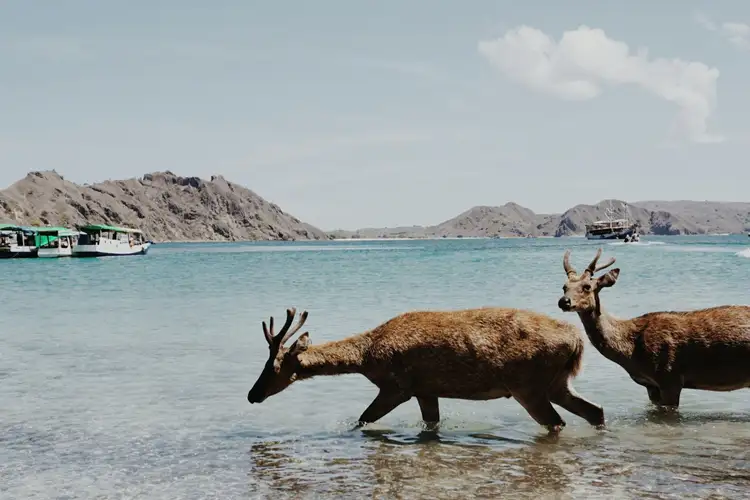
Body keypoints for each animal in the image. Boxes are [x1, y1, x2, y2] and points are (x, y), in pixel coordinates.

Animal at [247, 306, 606, 433]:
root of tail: (577, 341)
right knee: (595, 410)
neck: (367, 357)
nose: (252, 395)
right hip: (557, 382)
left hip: (527, 385)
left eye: (273, 366)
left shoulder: (398, 386)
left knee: (558, 422)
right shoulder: (426, 390)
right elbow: (431, 423)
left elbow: (363, 419)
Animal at [557, 248, 750, 408]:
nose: (564, 301)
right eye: (564, 286)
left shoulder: (670, 377)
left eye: (587, 287)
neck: (630, 353)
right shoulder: (651, 385)